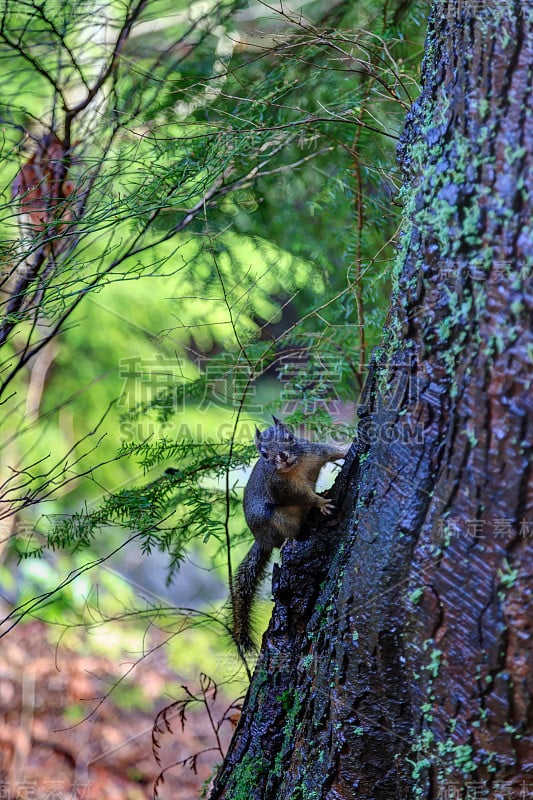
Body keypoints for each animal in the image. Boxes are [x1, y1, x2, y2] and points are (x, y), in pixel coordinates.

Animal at [232, 416, 350, 652]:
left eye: (290, 437)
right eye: (263, 454)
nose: (283, 457)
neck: (296, 466)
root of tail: (262, 540)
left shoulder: (314, 451)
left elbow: (332, 451)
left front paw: (348, 448)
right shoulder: (285, 488)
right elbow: (304, 497)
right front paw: (321, 503)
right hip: (275, 519)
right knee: (287, 534)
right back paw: (289, 541)